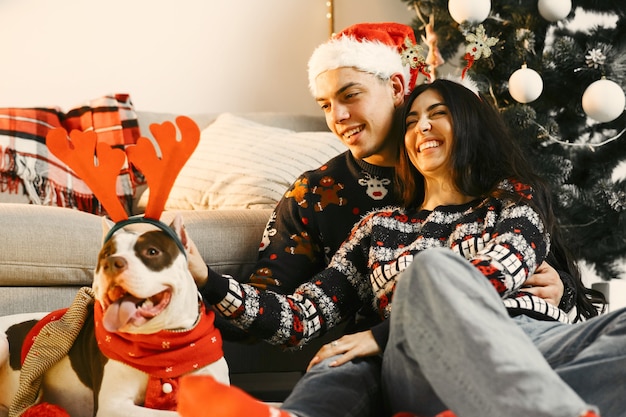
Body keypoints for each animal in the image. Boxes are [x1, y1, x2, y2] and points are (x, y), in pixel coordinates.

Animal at [0, 214, 227, 416]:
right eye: (105, 254)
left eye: (152, 251)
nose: (111, 262)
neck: (165, 348)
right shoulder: (113, 406)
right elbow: (176, 414)